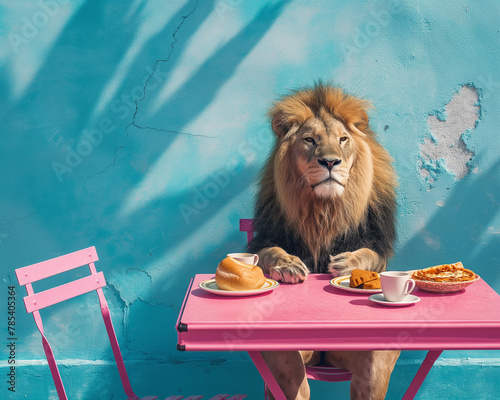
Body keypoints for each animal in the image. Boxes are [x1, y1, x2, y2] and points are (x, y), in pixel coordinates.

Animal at [248, 82, 400, 400]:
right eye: (309, 140)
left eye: (342, 139)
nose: (330, 161)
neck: (324, 211)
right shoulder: (267, 234)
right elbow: (271, 251)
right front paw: (288, 265)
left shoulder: (377, 242)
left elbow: (367, 254)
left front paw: (348, 263)